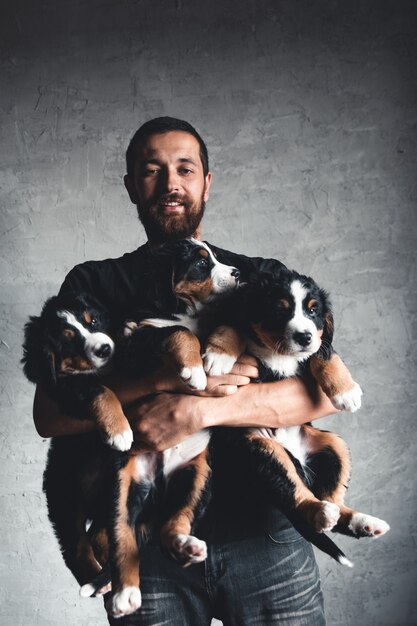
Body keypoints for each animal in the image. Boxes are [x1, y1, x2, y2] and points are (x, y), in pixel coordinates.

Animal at [203, 266, 388, 564]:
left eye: (313, 311)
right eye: (279, 310)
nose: (304, 337)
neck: (278, 352)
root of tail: (295, 454)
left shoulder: (320, 342)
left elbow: (325, 354)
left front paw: (347, 393)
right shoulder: (235, 313)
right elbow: (232, 325)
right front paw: (219, 356)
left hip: (334, 445)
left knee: (334, 502)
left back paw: (363, 522)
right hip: (262, 449)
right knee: (296, 494)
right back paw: (320, 512)